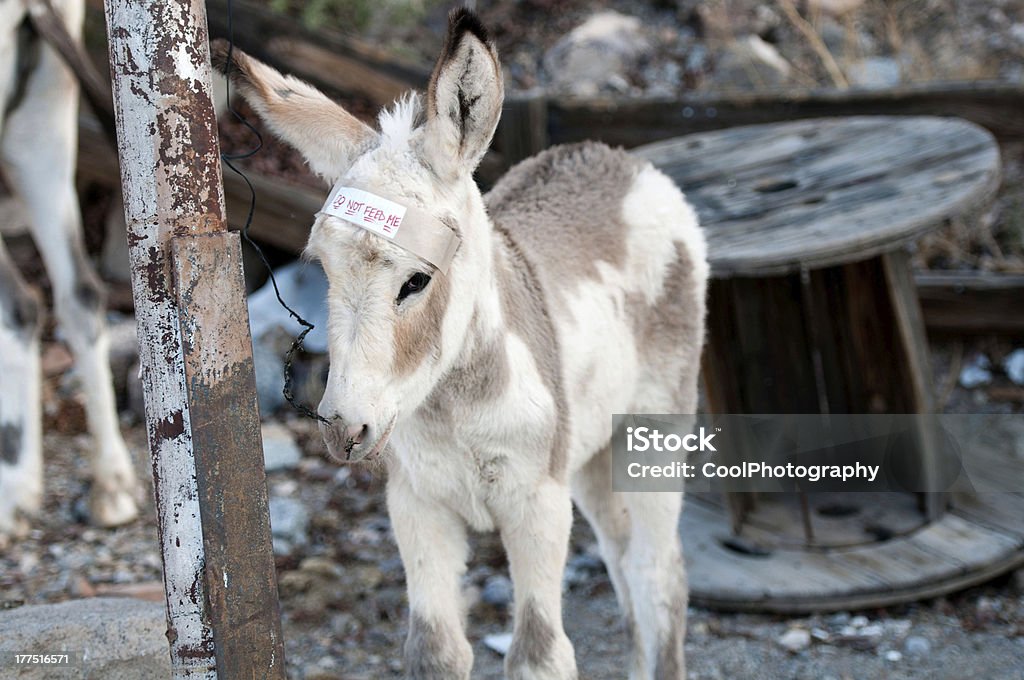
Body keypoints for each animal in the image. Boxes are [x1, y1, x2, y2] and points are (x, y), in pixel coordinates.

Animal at [220, 7, 708, 675]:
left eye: (417, 280)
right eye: (320, 269)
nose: (343, 430)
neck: (456, 405)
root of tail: (619, 160)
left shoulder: (536, 503)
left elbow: (539, 652)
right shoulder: (417, 504)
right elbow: (436, 650)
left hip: (654, 429)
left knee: (659, 575)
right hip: (589, 454)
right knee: (626, 565)